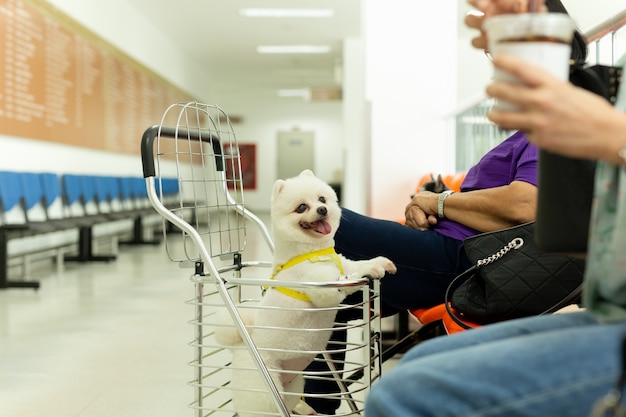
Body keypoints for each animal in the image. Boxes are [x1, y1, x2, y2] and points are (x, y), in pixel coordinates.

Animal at [216, 167, 394, 414]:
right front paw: (367, 272)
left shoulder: (343, 263)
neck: (312, 252)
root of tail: (240, 344)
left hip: (292, 384)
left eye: (322, 199)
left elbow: (357, 265)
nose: (322, 209)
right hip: (264, 390)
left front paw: (378, 263)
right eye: (301, 207)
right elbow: (343, 281)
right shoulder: (322, 287)